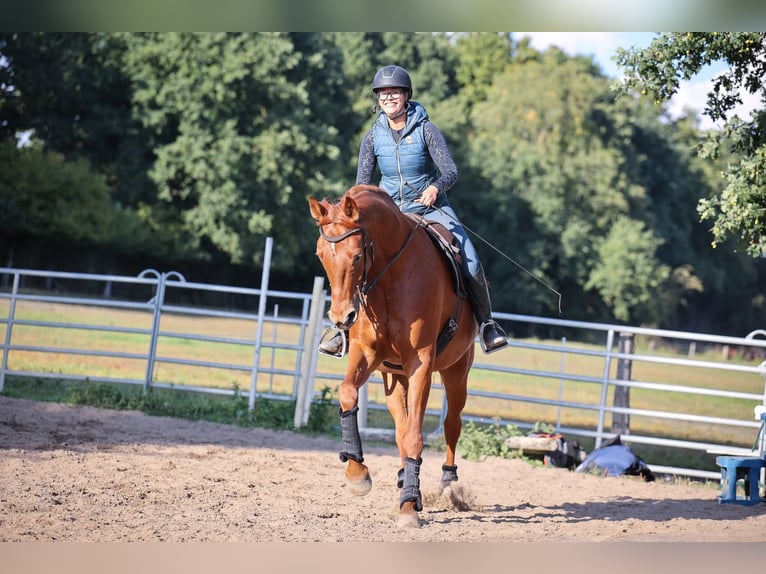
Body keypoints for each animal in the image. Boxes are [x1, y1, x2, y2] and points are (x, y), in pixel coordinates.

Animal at [308, 184, 479, 528]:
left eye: (357, 255)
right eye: (321, 255)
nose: (341, 318)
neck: (389, 276)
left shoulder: (420, 364)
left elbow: (415, 434)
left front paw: (410, 507)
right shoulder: (367, 353)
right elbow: (348, 394)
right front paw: (358, 475)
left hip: (456, 371)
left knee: (451, 423)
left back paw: (447, 484)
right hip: (393, 377)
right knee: (401, 428)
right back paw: (405, 479)